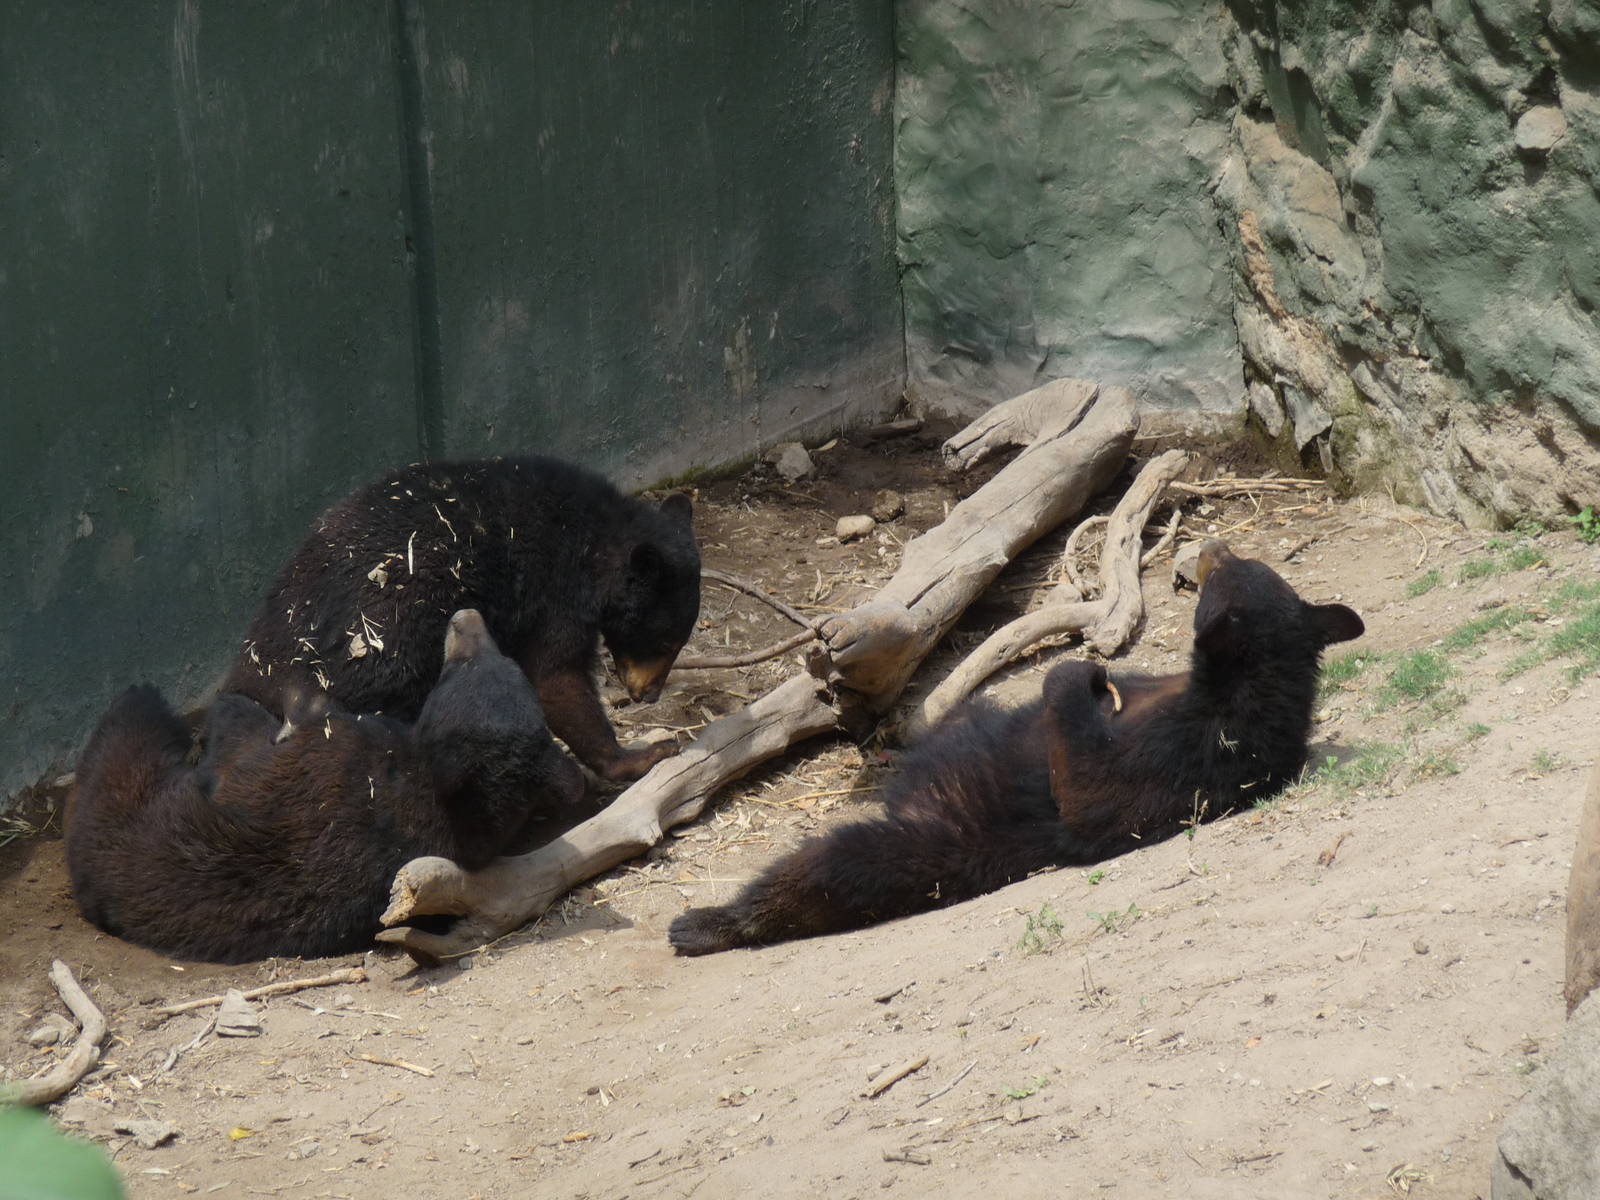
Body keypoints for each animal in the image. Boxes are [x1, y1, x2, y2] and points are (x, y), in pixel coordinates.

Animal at [66, 609, 584, 963]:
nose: (465, 616)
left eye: (462, 669)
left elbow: (244, 749)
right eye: (504, 661)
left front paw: (272, 703)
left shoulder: (323, 767)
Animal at [223, 455, 700, 784]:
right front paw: (641, 754)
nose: (649, 694)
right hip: (388, 643)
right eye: (664, 642)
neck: (598, 544)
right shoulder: (555, 593)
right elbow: (556, 677)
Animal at [667, 541, 1364, 955]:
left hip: (930, 846)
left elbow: (1092, 793)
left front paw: (1079, 674)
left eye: (1225, 568)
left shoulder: (1186, 752)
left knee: (825, 872)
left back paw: (707, 923)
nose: (1212, 546)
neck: (1227, 685)